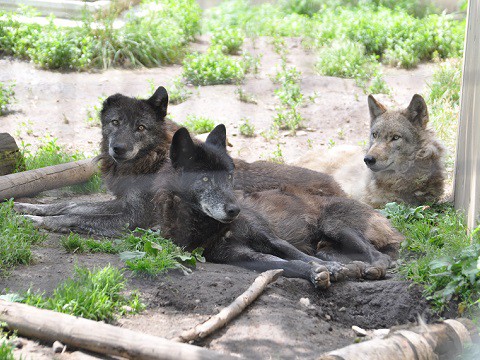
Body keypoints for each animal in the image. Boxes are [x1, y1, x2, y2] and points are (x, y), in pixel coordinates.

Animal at [15, 85, 344, 236]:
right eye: (115, 122)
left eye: (140, 128)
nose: (118, 149)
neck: (151, 160)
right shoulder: (123, 202)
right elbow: (69, 205)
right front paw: (26, 208)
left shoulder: (134, 218)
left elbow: (73, 217)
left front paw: (35, 221)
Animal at [156, 125, 404, 288]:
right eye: (205, 179)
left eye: (229, 176)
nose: (235, 210)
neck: (214, 228)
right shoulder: (239, 256)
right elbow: (288, 264)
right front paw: (317, 273)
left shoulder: (271, 239)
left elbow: (298, 256)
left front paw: (333, 270)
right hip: (325, 247)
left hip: (334, 226)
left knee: (381, 257)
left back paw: (372, 269)